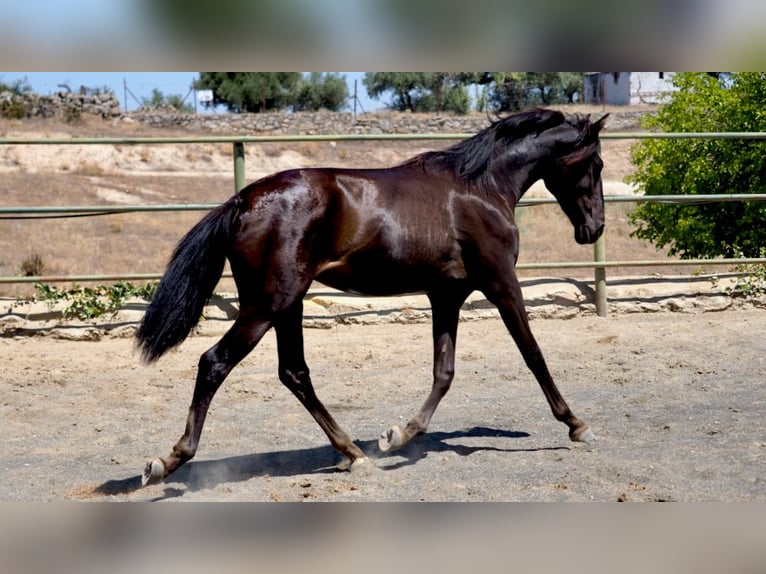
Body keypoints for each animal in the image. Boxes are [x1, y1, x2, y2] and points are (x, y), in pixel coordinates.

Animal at [135, 108, 608, 486]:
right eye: (597, 163)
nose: (595, 228)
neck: (482, 188)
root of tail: (241, 201)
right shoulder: (501, 283)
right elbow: (533, 354)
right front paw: (577, 424)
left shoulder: (447, 294)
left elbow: (444, 371)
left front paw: (397, 436)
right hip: (267, 304)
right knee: (215, 362)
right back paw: (166, 461)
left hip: (288, 303)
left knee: (294, 372)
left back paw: (353, 453)